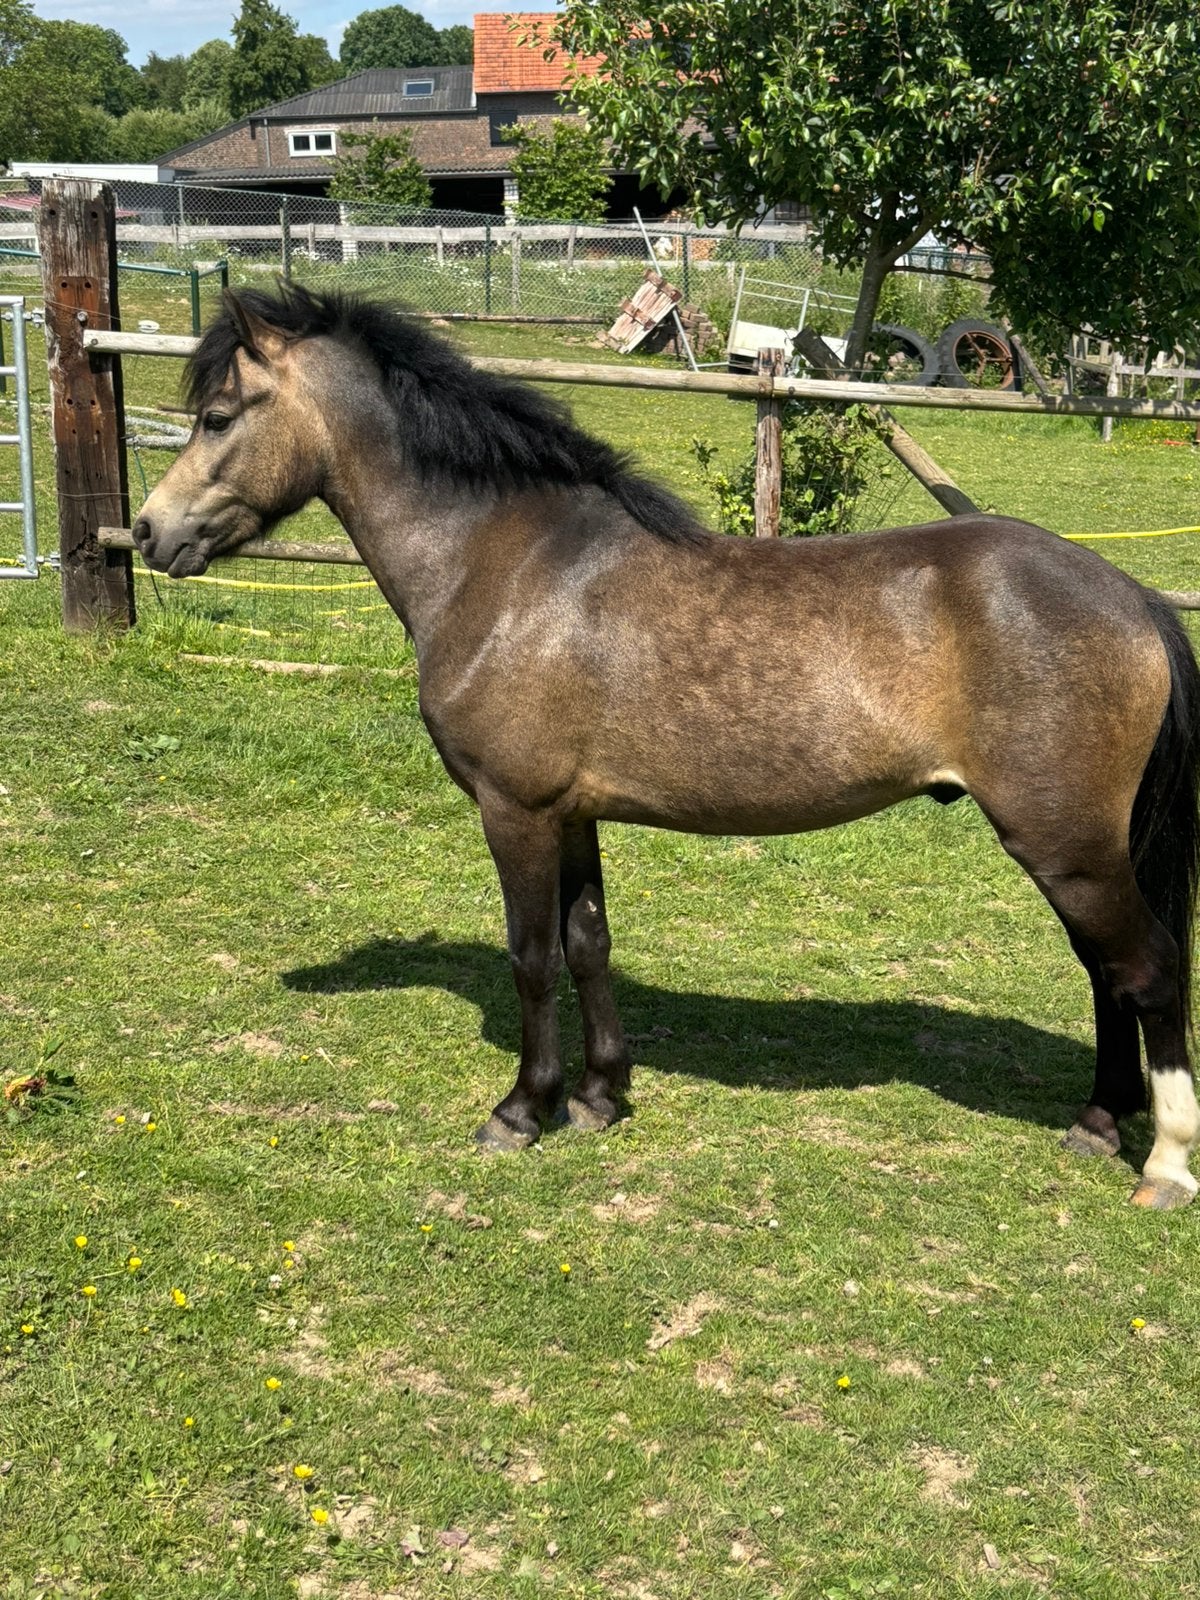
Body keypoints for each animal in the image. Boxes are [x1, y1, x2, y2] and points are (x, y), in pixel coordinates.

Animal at [131, 285, 1200, 1209]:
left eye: (217, 417)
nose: (148, 531)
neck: (504, 563)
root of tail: (1133, 597)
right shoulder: (573, 815)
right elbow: (588, 942)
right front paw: (601, 1096)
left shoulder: (515, 810)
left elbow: (531, 955)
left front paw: (522, 1110)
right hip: (1076, 851)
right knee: (1106, 972)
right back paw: (1097, 1123)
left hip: (1064, 846)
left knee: (1146, 969)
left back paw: (1165, 1165)